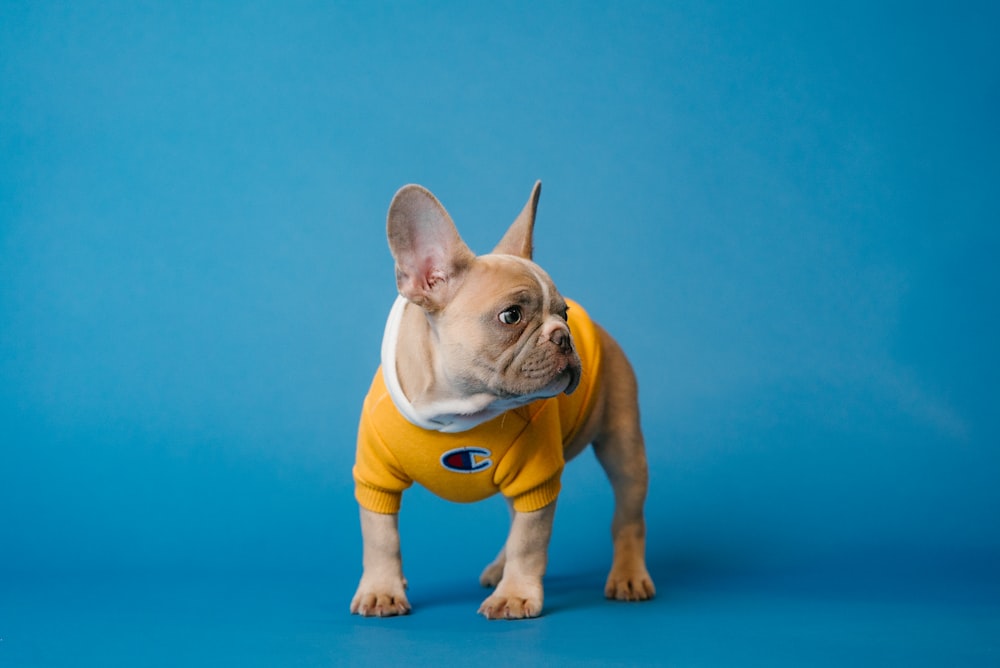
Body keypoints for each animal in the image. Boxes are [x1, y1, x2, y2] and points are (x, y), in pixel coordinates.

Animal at [352, 180, 656, 620]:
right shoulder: (375, 477)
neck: (452, 409)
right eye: (511, 316)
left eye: (564, 313)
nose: (564, 336)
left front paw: (515, 594)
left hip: (623, 444)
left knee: (628, 515)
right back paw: (499, 567)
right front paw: (381, 589)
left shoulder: (536, 477)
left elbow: (529, 542)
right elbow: (380, 538)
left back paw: (628, 575)